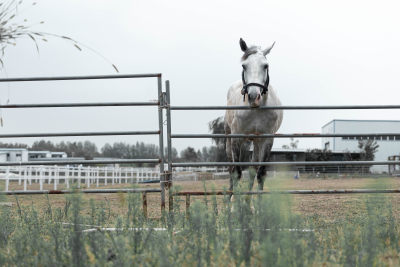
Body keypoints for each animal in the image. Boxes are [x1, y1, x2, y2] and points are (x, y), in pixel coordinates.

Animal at [223, 38, 282, 193]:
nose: (253, 97)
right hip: (228, 138)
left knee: (252, 170)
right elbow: (237, 174)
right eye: (244, 66)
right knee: (231, 170)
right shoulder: (236, 138)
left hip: (256, 142)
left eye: (266, 66)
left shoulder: (267, 140)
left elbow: (260, 174)